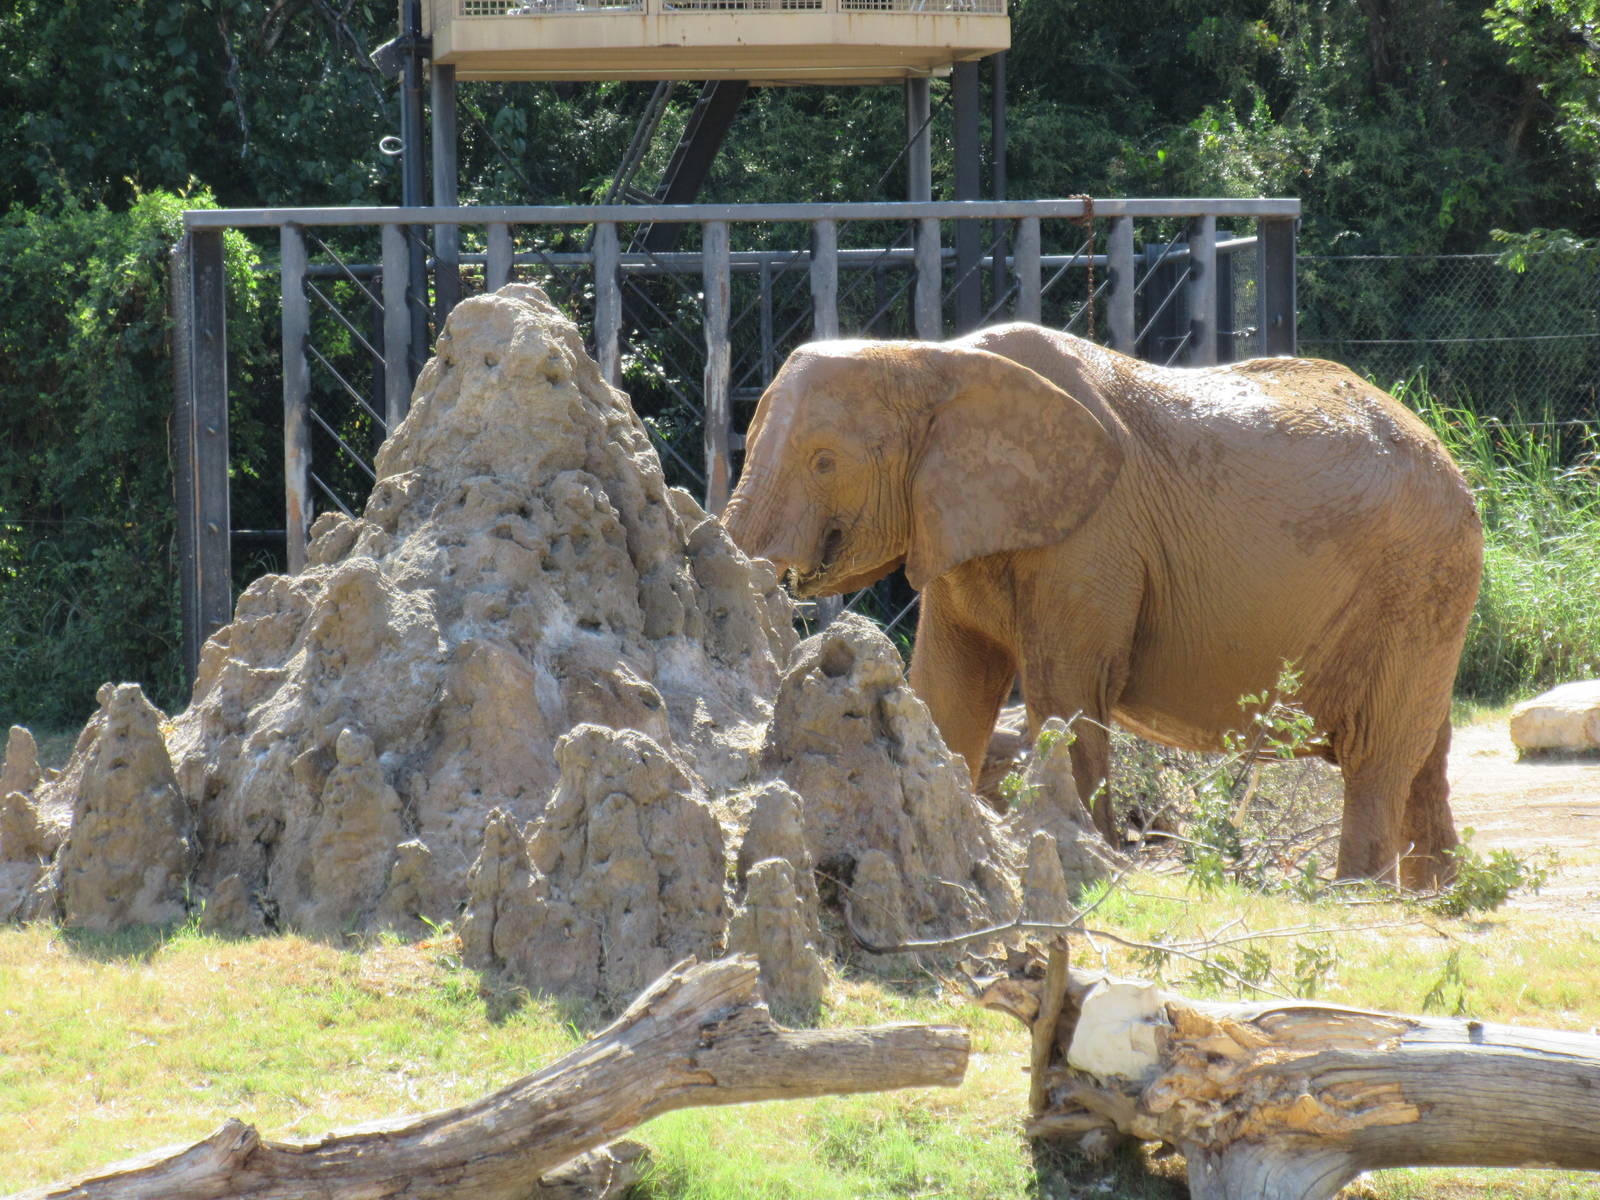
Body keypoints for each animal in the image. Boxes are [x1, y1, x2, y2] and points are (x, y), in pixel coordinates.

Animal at [721, 322, 1483, 888]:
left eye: (824, 461)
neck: (936, 357)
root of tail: (1449, 457)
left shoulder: (1094, 538)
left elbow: (1066, 693)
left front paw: (1086, 855)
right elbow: (947, 690)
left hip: (1418, 581)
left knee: (1377, 758)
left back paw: (1357, 898)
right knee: (1425, 755)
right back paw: (1441, 898)